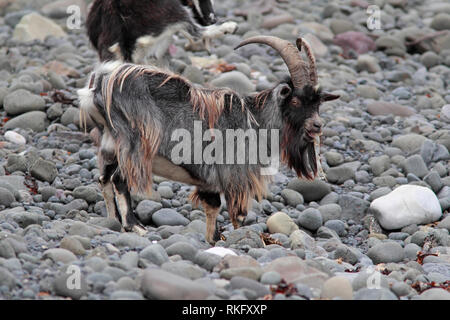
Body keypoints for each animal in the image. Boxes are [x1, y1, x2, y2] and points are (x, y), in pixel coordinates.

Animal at [78, 36, 338, 244]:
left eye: (317, 103)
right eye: (295, 100)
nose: (317, 125)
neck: (256, 120)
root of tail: (99, 84)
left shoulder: (209, 180)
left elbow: (212, 206)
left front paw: (214, 239)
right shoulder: (233, 174)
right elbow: (237, 214)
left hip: (110, 145)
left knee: (104, 178)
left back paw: (112, 221)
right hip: (135, 144)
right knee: (119, 178)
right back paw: (134, 226)